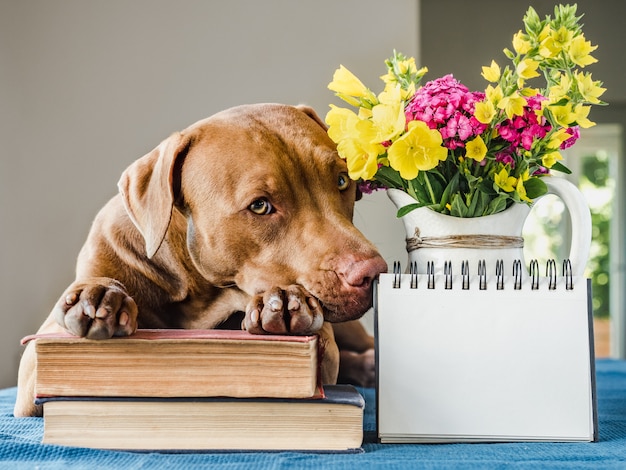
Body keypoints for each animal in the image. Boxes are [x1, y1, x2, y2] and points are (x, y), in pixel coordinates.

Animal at [14, 103, 386, 414]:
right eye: (260, 205)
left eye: (342, 181)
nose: (372, 273)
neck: (198, 293)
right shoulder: (37, 366)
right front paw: (100, 295)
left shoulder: (326, 352)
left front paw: (286, 302)